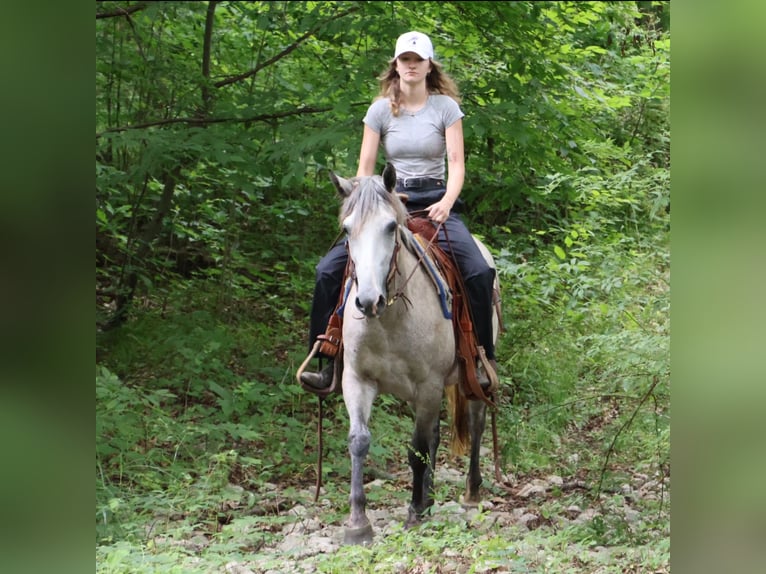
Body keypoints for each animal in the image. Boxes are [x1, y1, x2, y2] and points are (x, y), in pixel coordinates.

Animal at [329, 163, 500, 545]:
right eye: (346, 229)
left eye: (391, 226)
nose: (368, 301)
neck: (389, 318)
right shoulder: (357, 379)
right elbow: (359, 441)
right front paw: (358, 523)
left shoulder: (428, 385)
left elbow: (416, 448)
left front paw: (414, 513)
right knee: (435, 436)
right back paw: (431, 498)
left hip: (471, 378)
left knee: (476, 421)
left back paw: (471, 493)